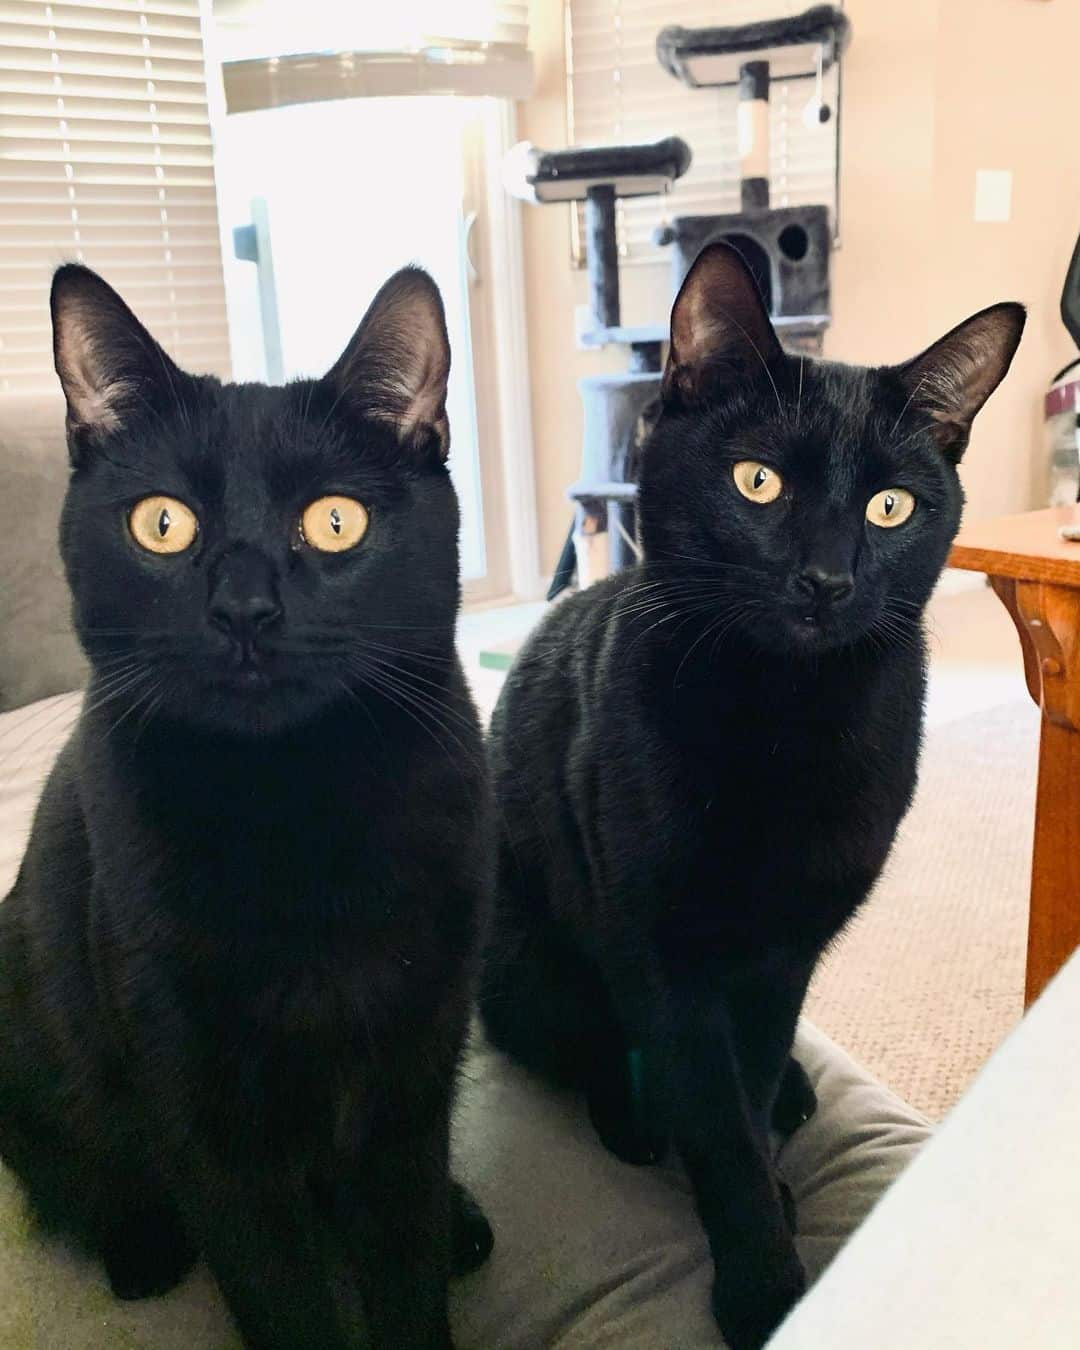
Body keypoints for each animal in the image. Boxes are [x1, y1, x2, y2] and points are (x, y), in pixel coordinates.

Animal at [0, 265, 494, 1350]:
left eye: (336, 522)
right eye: (162, 524)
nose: (244, 609)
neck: (295, 811)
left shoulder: (411, 1075)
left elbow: (404, 1264)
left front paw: (426, 1255)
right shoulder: (207, 1124)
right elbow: (281, 1295)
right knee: (74, 1175)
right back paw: (140, 1247)